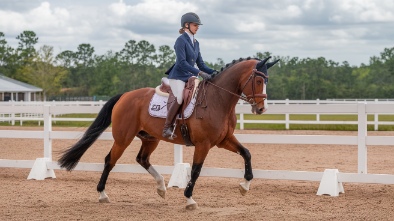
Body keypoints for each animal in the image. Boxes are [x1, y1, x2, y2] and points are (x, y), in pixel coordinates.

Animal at [58, 56, 280, 210]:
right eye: (258, 81)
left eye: (267, 81)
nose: (262, 109)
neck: (218, 100)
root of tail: (125, 95)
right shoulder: (204, 144)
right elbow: (196, 170)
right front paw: (189, 199)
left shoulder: (224, 140)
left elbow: (246, 153)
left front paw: (245, 186)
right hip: (123, 138)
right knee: (109, 161)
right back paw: (102, 195)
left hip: (150, 138)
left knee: (142, 159)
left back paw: (161, 187)